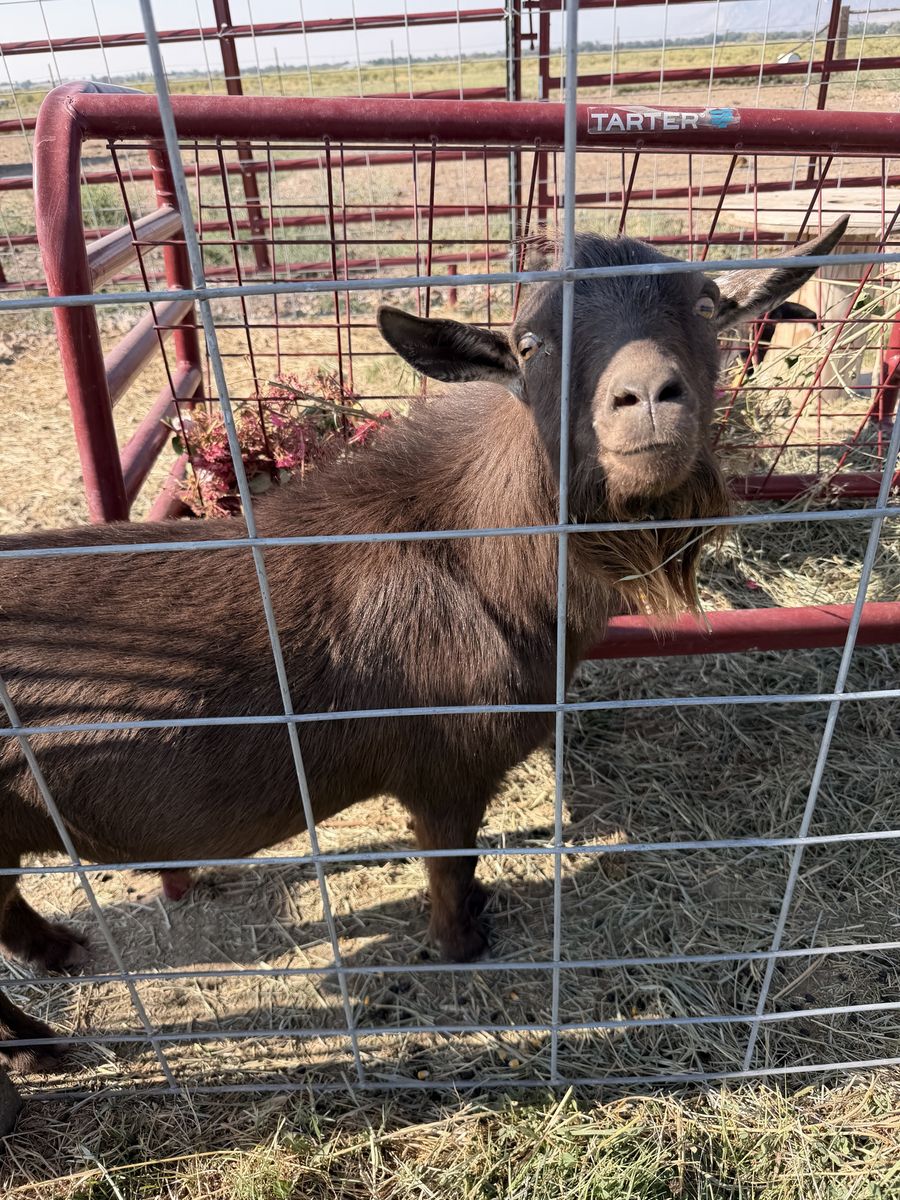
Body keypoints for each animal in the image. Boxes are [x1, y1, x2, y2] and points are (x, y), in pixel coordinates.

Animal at [0, 218, 848, 1070]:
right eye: (531, 343)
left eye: (706, 306)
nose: (645, 400)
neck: (480, 559)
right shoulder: (445, 763)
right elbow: (449, 859)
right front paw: (461, 942)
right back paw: (41, 1046)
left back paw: (58, 959)